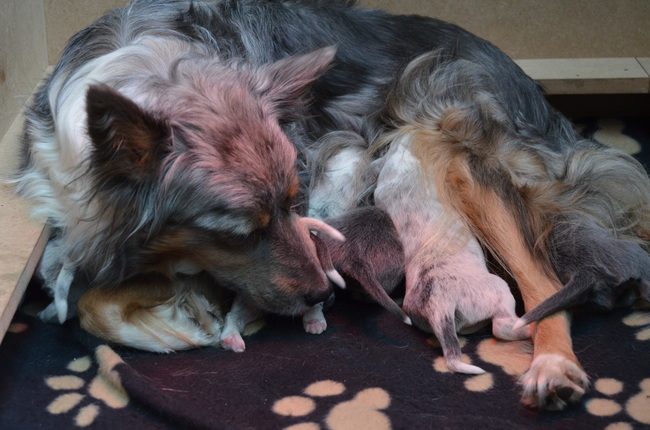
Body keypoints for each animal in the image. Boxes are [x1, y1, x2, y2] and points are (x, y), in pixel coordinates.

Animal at [14, 0, 650, 409]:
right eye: (239, 233)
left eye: (296, 202)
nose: (323, 293)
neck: (143, 76)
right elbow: (89, 302)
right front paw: (179, 317)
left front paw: (186, 323)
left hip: (456, 142)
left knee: (544, 280)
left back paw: (554, 368)